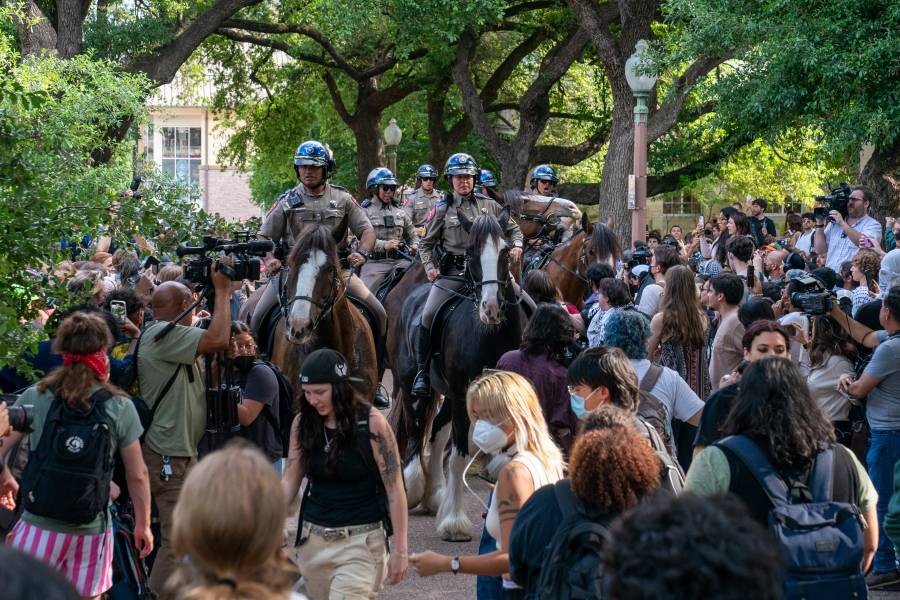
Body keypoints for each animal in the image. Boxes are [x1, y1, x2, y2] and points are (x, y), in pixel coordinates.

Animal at [392, 212, 528, 544]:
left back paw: (434, 495)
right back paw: (413, 488)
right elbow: (458, 457)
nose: (491, 308)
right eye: (471, 253)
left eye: (505, 251)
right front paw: (454, 523)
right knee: (416, 431)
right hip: (413, 387)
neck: (488, 334)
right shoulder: (461, 393)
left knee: (437, 433)